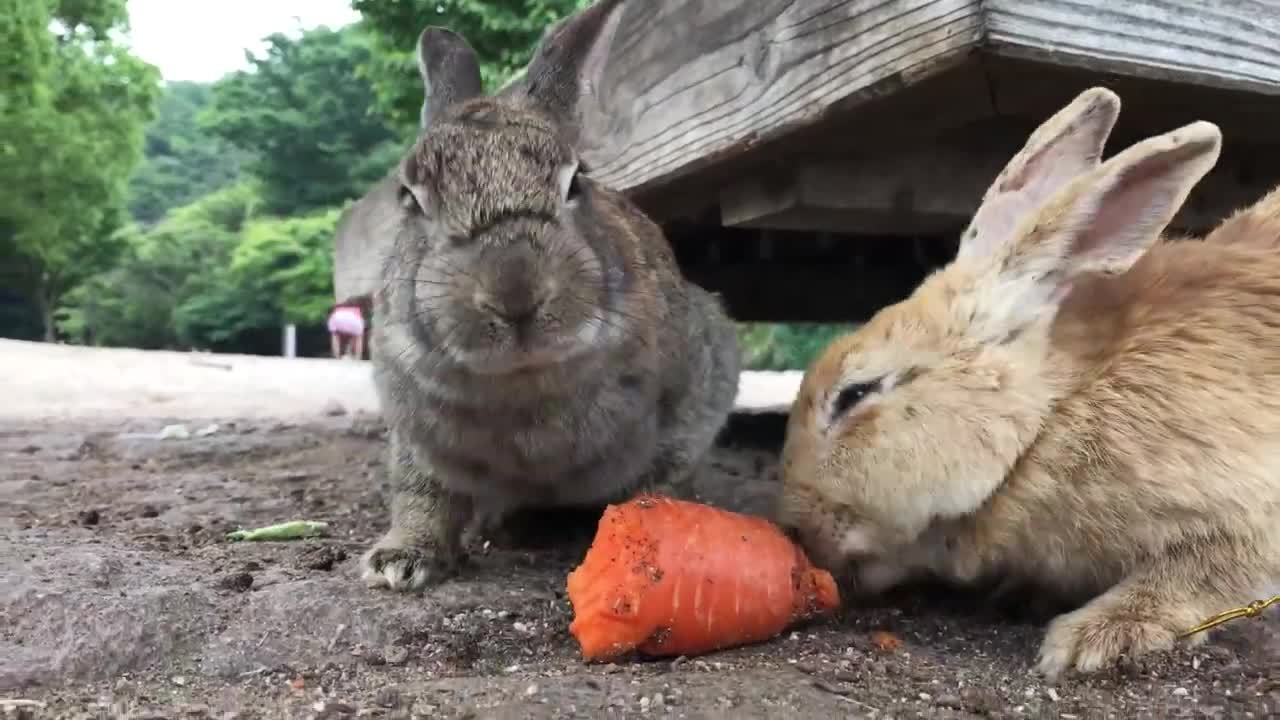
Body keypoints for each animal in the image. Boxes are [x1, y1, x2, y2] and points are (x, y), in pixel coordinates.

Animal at [360, 0, 742, 591]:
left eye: (576, 182)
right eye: (410, 197)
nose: (515, 292)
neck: (522, 379)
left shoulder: (693, 396)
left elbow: (662, 475)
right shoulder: (415, 433)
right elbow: (424, 493)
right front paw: (401, 560)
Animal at [778, 87, 1280, 676]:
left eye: (855, 394)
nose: (795, 530)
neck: (1048, 421)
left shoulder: (1244, 510)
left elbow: (1199, 576)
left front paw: (1090, 639)